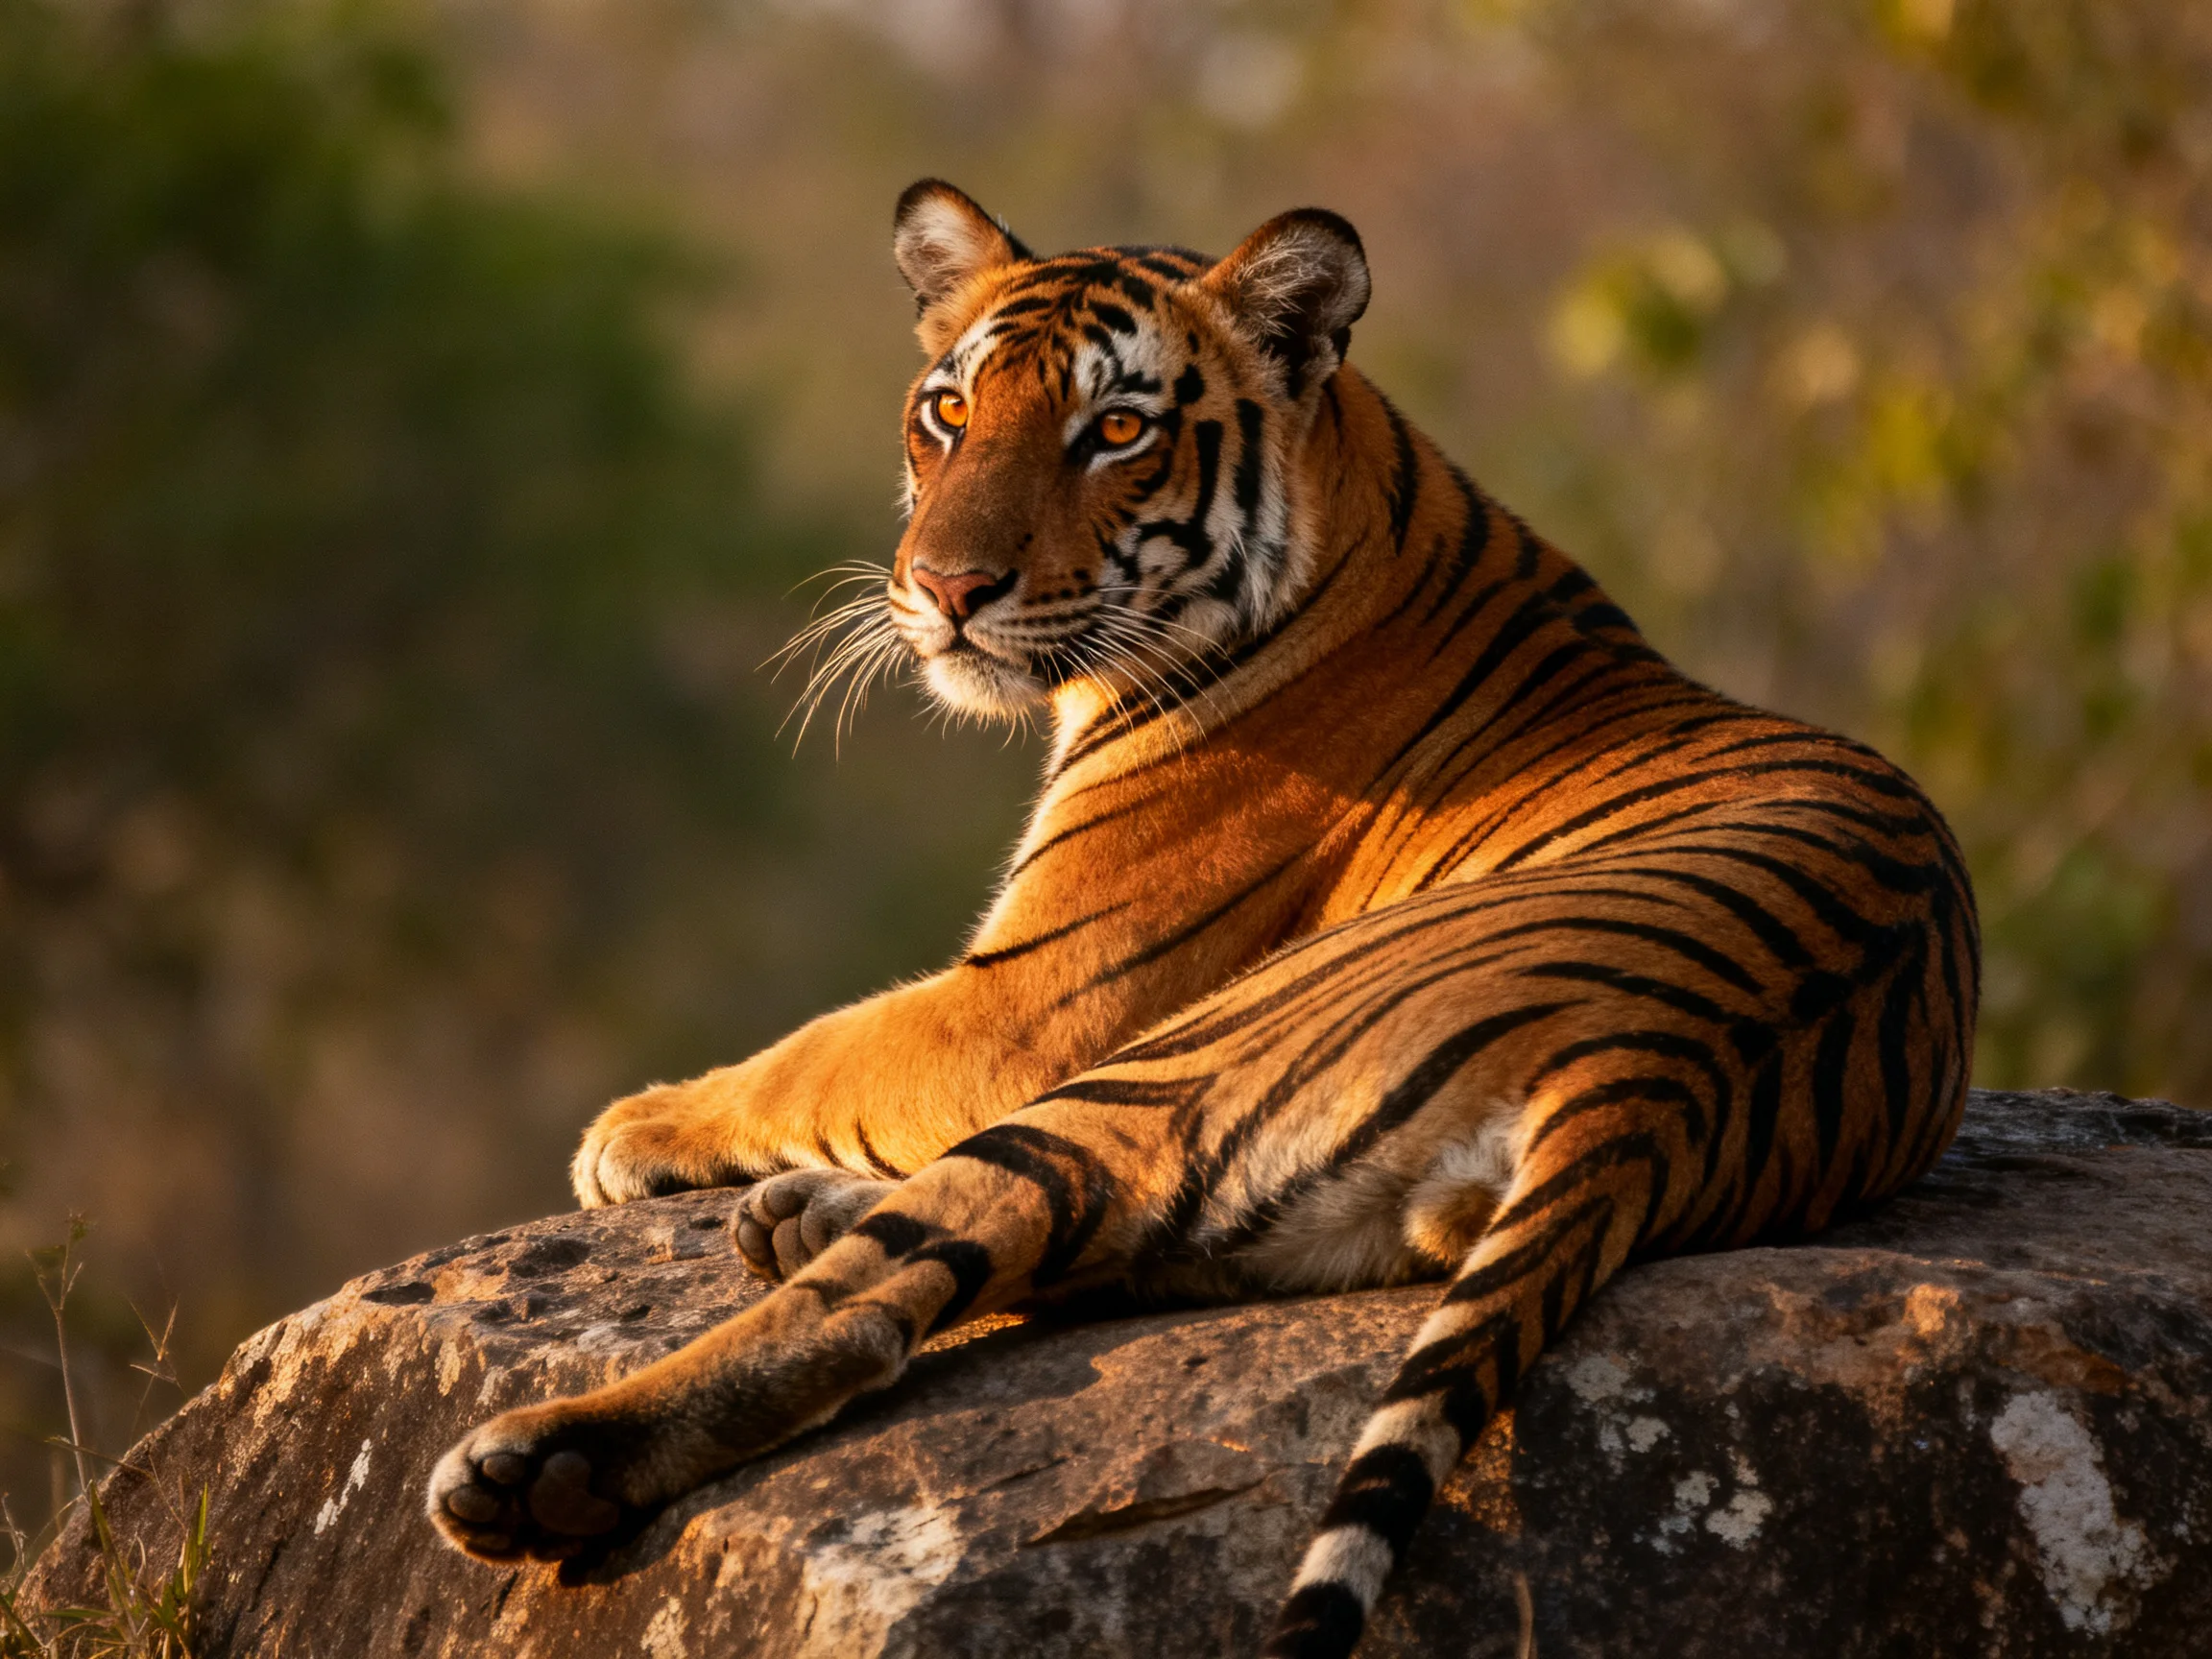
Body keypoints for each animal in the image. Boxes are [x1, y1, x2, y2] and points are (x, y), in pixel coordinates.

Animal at [426, 179, 1979, 1659]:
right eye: (949, 412)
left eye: (1114, 430)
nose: (943, 590)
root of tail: (1662, 1075)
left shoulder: (1024, 1003)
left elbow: (819, 1047)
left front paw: (631, 1128)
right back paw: (798, 1220)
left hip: (1158, 1071)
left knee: (875, 1307)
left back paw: (544, 1464)